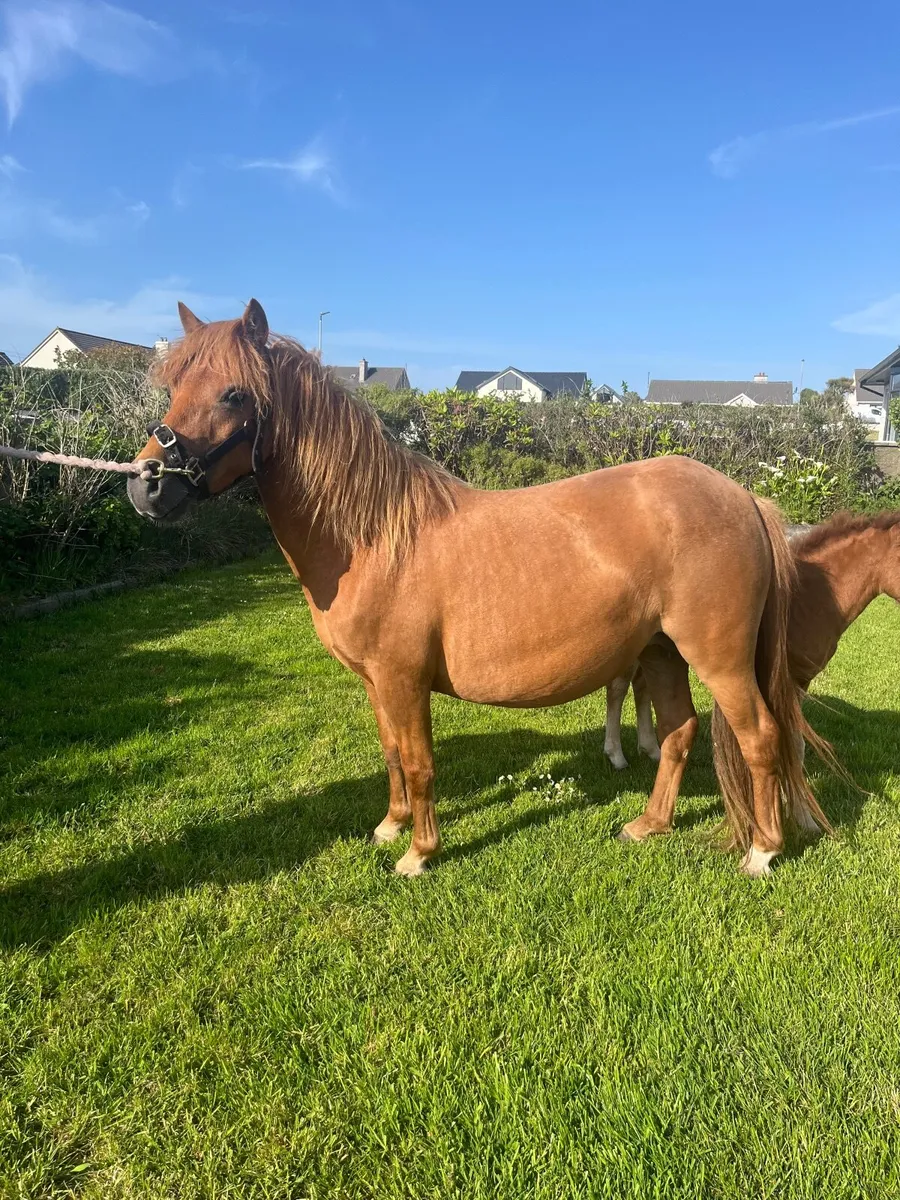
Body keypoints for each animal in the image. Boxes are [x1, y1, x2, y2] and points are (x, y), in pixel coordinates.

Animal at [127, 300, 831, 878]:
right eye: (174, 385)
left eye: (234, 394)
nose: (147, 484)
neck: (376, 535)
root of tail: (743, 497)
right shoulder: (377, 682)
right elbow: (391, 753)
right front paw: (391, 827)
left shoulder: (403, 679)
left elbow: (418, 761)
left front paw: (420, 853)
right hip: (660, 651)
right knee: (681, 732)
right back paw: (650, 825)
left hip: (720, 659)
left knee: (760, 738)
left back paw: (763, 850)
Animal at [603, 509, 900, 766]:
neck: (812, 596)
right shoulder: (792, 680)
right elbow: (795, 743)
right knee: (618, 690)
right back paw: (616, 755)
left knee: (640, 687)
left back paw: (650, 749)